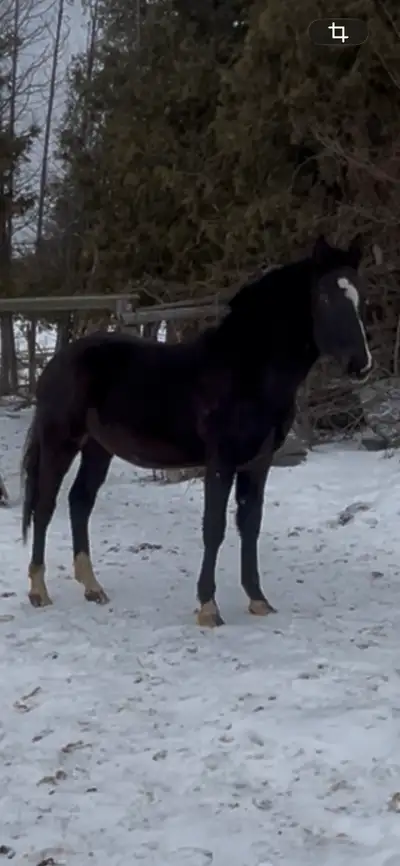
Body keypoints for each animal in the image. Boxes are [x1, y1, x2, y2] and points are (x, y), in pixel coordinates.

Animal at [21, 233, 372, 626]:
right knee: (44, 505)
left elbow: (250, 524)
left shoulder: (259, 461)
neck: (247, 371)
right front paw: (208, 607)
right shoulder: (220, 461)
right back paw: (39, 591)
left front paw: (258, 600)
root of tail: (56, 362)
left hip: (98, 448)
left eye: (360, 294)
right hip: (60, 441)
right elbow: (214, 527)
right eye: (324, 296)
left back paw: (93, 588)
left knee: (80, 501)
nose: (360, 364)